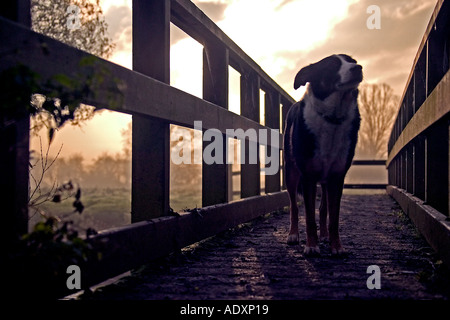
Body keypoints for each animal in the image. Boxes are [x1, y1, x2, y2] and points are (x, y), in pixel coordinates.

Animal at [284, 53, 364, 256]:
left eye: (352, 61)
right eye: (332, 65)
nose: (358, 68)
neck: (333, 117)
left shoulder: (337, 177)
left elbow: (333, 217)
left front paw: (337, 246)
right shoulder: (308, 177)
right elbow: (309, 217)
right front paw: (311, 246)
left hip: (326, 180)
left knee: (323, 208)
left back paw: (325, 236)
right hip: (291, 173)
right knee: (294, 206)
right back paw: (293, 235)